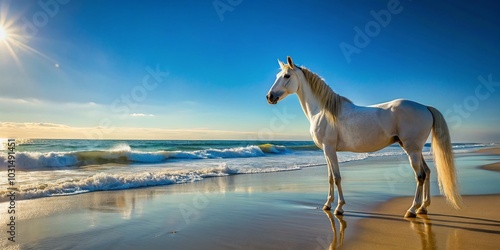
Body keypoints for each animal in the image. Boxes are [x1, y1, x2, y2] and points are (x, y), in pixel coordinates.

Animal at [266, 56, 460, 217]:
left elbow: (336, 178)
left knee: (420, 176)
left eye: (286, 76)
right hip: (414, 149)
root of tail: (425, 107)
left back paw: (412, 210)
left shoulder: (330, 149)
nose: (269, 96)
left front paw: (339, 207)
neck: (322, 111)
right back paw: (423, 207)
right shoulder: (326, 151)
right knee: (427, 172)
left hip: (412, 150)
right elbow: (330, 178)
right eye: (278, 75)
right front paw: (327, 204)